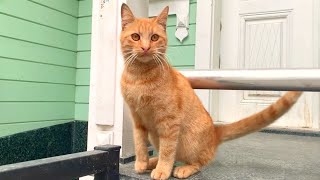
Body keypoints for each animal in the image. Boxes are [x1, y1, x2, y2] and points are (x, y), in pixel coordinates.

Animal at [120, 3, 302, 179]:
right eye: (136, 37)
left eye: (154, 37)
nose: (145, 48)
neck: (138, 77)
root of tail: (215, 131)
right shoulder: (137, 119)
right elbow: (139, 143)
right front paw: (141, 162)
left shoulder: (169, 122)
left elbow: (167, 150)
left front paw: (162, 170)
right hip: (155, 135)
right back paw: (152, 162)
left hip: (188, 142)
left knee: (197, 162)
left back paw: (182, 168)